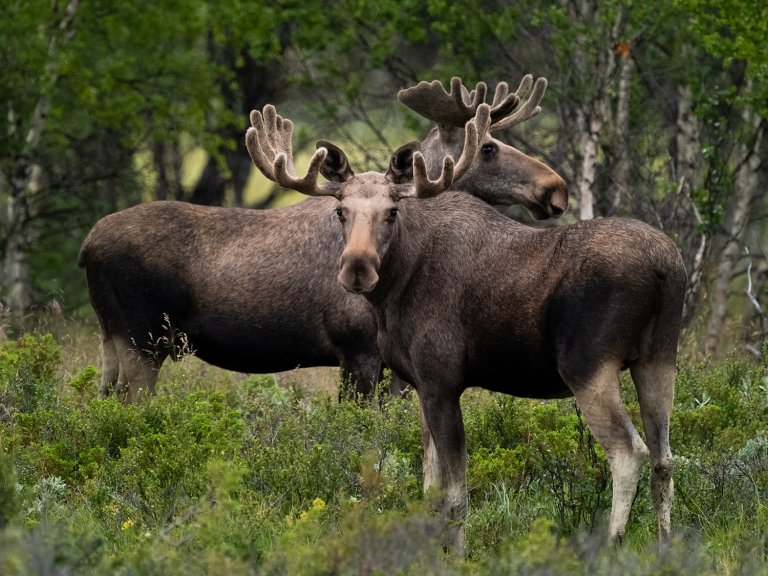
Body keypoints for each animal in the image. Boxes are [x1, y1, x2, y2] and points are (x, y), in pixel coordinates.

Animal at [79, 75, 568, 400]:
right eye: (487, 147)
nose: (556, 188)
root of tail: (86, 248)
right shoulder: (359, 350)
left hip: (110, 340)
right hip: (140, 338)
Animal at [248, 101, 688, 552]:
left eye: (392, 212)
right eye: (341, 212)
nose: (358, 268)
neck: (394, 288)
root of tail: (665, 267)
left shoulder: (442, 381)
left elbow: (456, 497)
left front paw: (456, 554)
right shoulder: (420, 384)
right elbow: (430, 490)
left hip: (589, 366)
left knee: (629, 453)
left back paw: (611, 545)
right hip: (658, 359)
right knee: (665, 459)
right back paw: (666, 546)